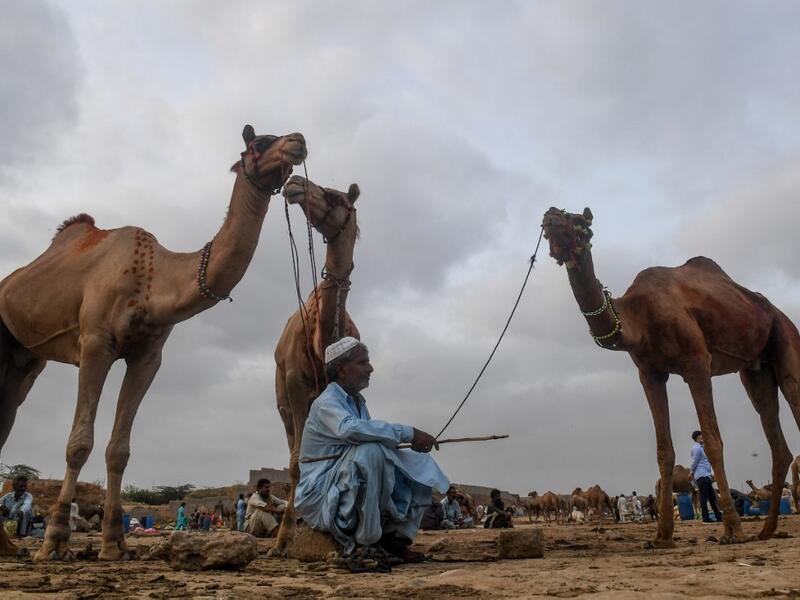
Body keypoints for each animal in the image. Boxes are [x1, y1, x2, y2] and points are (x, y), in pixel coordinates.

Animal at [0, 125, 306, 560]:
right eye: (259, 143)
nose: (298, 140)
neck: (154, 279)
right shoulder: (96, 343)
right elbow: (79, 443)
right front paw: (55, 542)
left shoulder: (147, 356)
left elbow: (119, 450)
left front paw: (114, 545)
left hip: (27, 356)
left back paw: (9, 546)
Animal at [543, 207, 800, 546]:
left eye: (578, 221)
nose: (550, 215)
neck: (637, 317)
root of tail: (777, 311)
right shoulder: (650, 373)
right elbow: (663, 449)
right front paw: (663, 535)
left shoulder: (697, 363)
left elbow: (713, 441)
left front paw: (733, 530)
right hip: (755, 370)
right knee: (773, 431)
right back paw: (767, 530)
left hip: (785, 335)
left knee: (793, 389)